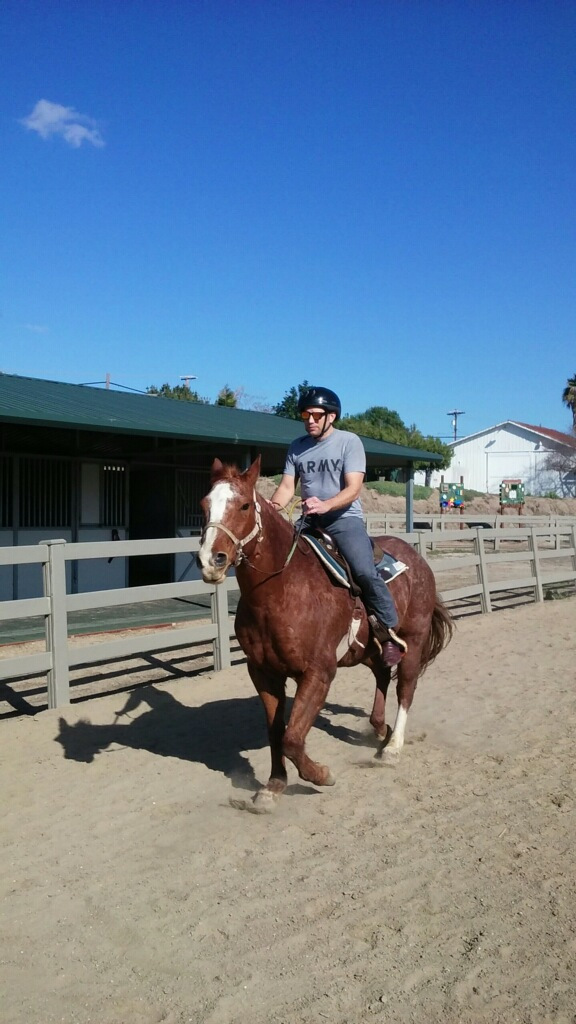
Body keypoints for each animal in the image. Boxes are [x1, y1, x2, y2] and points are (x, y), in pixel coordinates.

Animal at [198, 456, 453, 812]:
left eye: (245, 505)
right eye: (204, 504)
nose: (211, 560)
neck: (280, 590)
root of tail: (417, 559)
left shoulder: (319, 672)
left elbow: (292, 738)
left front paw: (320, 775)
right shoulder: (263, 672)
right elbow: (276, 733)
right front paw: (273, 787)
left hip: (413, 641)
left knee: (406, 688)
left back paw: (392, 747)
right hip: (369, 648)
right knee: (382, 676)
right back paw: (379, 729)